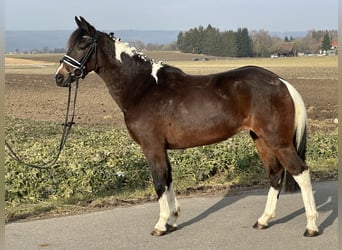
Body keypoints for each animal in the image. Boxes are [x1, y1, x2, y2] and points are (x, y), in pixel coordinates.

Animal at [54, 16, 320, 237]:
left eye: (83, 45)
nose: (60, 76)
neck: (144, 88)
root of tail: (281, 82)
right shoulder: (162, 149)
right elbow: (168, 180)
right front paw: (172, 220)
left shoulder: (152, 147)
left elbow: (159, 183)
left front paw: (161, 225)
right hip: (261, 139)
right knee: (275, 175)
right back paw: (263, 220)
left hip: (279, 141)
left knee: (301, 172)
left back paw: (311, 226)